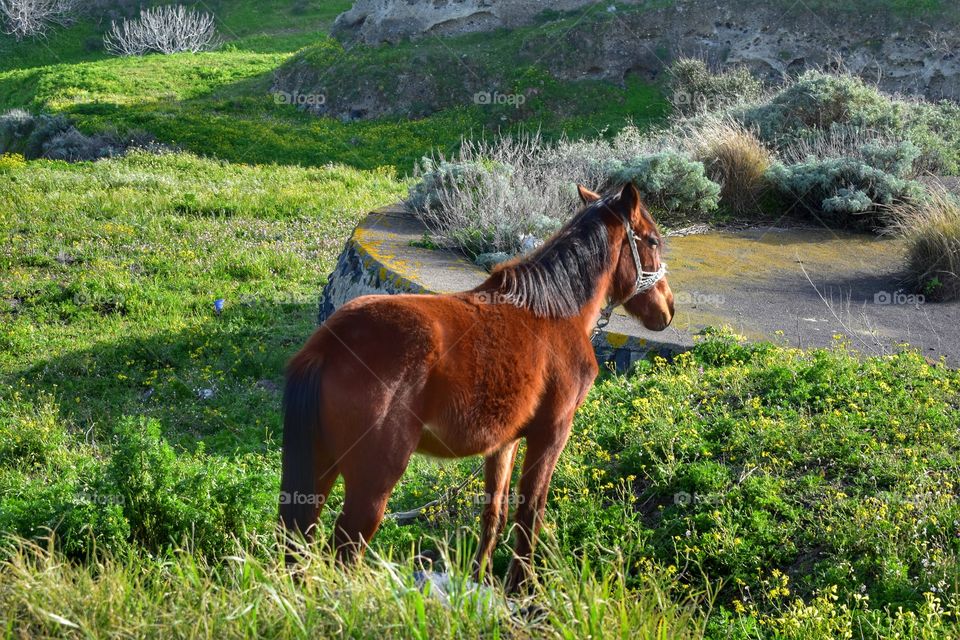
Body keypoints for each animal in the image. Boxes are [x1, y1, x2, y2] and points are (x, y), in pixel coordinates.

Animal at [279, 182, 674, 592]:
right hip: (373, 482)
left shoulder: (504, 443)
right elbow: (529, 515)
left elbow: (494, 515)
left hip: (319, 468)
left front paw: (480, 579)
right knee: (343, 552)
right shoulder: (551, 433)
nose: (668, 309)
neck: (554, 311)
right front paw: (521, 589)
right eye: (653, 240)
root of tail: (328, 344)